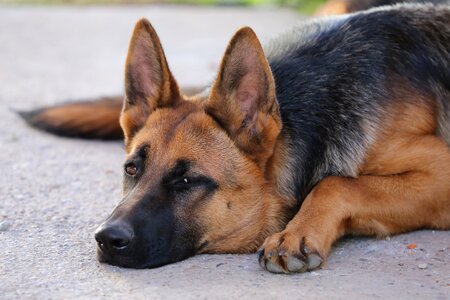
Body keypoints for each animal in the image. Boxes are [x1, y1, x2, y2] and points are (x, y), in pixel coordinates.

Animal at [21, 2, 450, 274]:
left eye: (187, 180)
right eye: (131, 169)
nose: (106, 239)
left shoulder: (441, 171)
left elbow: (336, 184)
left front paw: (296, 234)